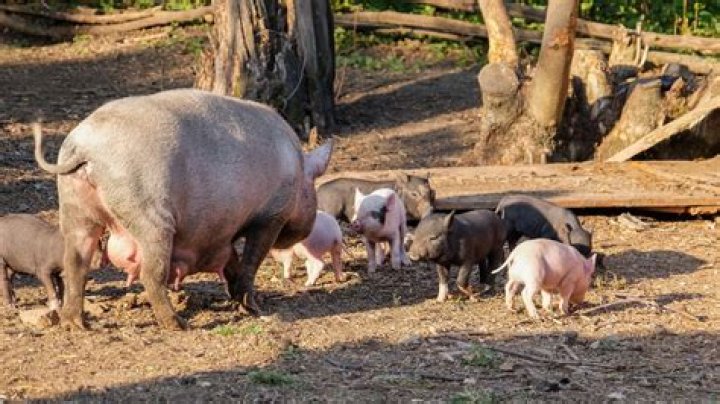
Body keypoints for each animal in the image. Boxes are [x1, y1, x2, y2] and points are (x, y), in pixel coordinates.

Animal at [34, 88, 332, 330]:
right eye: (313, 185)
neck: (296, 167)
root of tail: (85, 148)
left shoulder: (222, 233)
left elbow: (232, 261)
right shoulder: (270, 216)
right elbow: (250, 261)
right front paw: (255, 308)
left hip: (74, 208)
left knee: (76, 263)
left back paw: (74, 325)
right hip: (151, 216)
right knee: (151, 274)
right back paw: (177, 324)